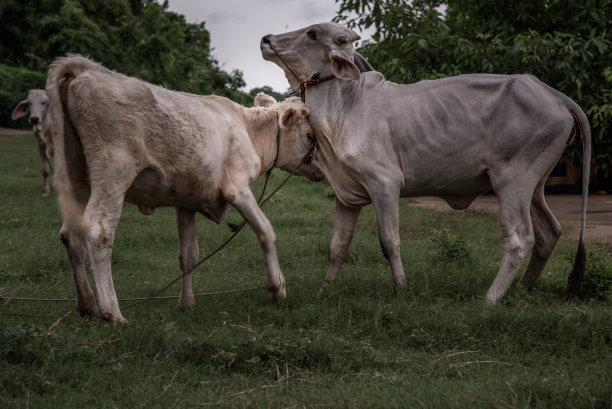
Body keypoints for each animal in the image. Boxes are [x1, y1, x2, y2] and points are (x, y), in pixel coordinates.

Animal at [260, 23, 592, 302]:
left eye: (312, 33)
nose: (266, 39)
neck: (345, 108)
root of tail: (555, 95)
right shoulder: (346, 194)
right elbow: (337, 247)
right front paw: (325, 291)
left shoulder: (385, 184)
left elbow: (389, 241)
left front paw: (402, 288)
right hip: (535, 185)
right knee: (549, 232)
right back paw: (523, 288)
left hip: (513, 180)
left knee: (520, 239)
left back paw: (491, 298)